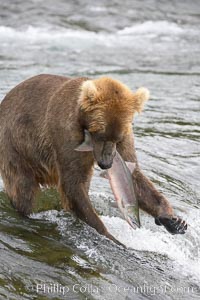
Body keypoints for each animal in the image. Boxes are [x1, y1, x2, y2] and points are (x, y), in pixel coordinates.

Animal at [0, 74, 187, 244]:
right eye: (100, 134)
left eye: (117, 138)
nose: (106, 163)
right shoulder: (65, 134)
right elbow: (74, 182)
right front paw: (110, 235)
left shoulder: (125, 139)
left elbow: (135, 176)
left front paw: (175, 221)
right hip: (16, 147)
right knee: (23, 188)